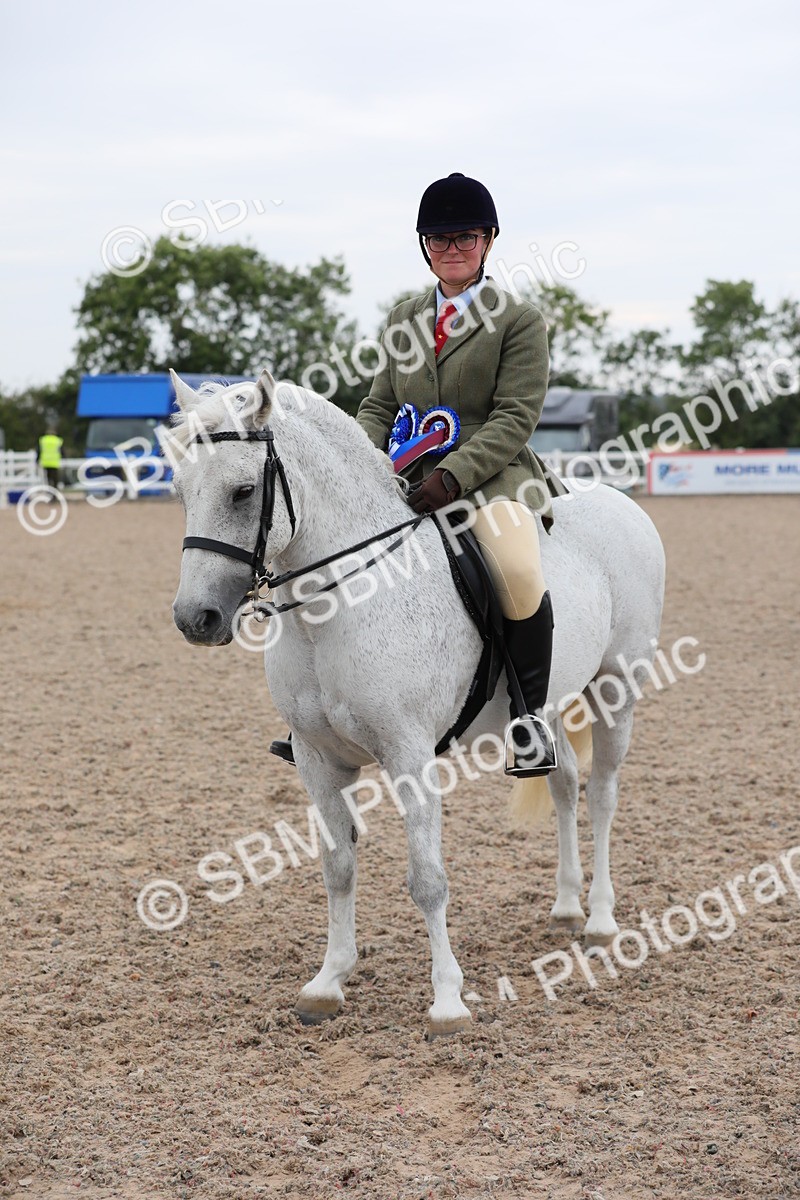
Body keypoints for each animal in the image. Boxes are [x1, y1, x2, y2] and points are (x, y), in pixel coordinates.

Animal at [169, 369, 665, 1036]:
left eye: (244, 491)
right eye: (181, 490)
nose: (195, 619)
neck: (342, 599)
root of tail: (620, 500)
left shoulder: (409, 757)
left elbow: (427, 879)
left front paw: (448, 1000)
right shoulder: (317, 761)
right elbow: (338, 866)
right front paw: (327, 983)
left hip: (616, 688)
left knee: (603, 794)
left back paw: (602, 920)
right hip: (551, 703)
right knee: (564, 787)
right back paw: (565, 907)